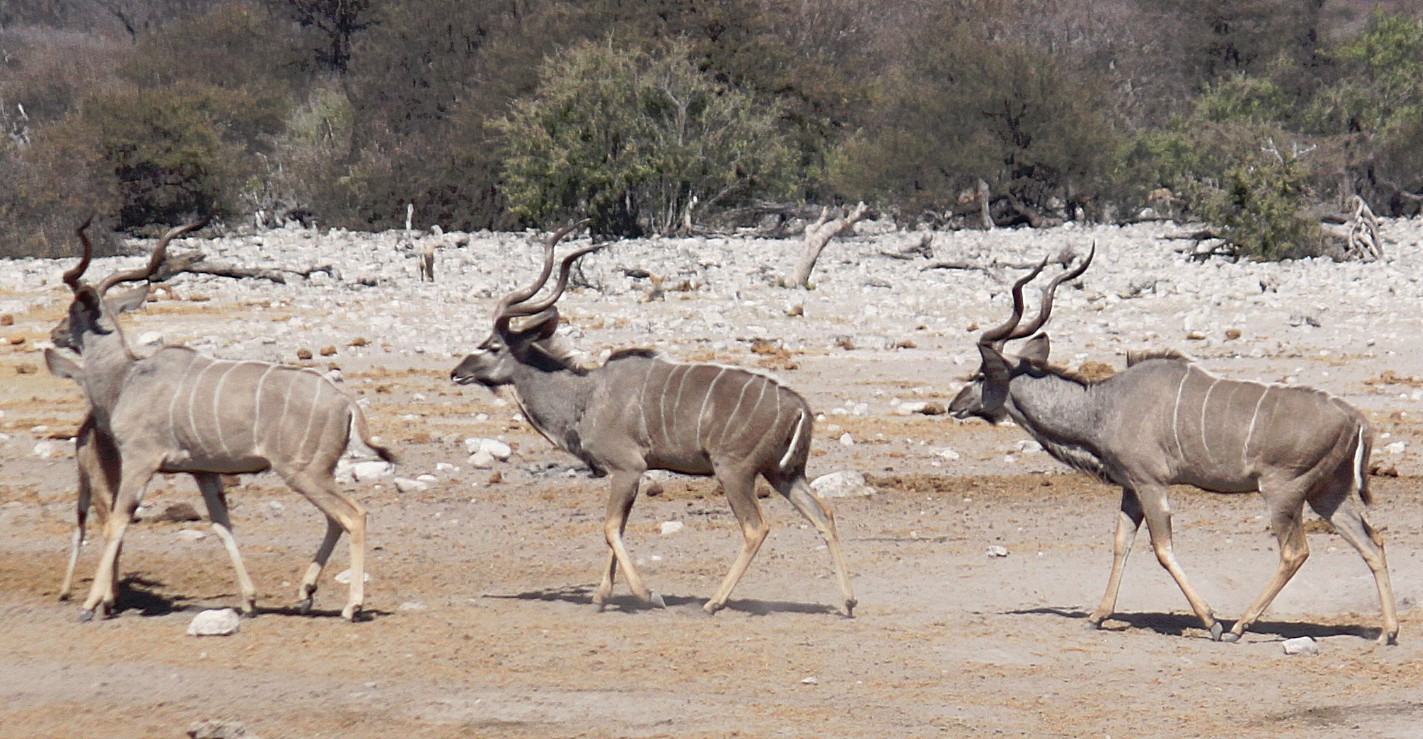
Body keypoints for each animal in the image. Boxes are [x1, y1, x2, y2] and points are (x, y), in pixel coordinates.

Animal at [48, 219, 392, 617]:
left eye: (75, 310)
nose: (55, 333)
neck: (126, 378)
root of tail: (345, 402)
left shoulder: (140, 461)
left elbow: (117, 522)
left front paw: (93, 603)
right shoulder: (204, 471)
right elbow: (222, 525)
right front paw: (249, 600)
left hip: (304, 472)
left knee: (353, 516)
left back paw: (352, 606)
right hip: (317, 474)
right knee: (334, 519)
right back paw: (305, 591)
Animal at [455, 224, 853, 617]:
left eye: (492, 346)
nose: (456, 372)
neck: (585, 395)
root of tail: (799, 407)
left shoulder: (627, 468)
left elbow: (610, 527)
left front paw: (649, 595)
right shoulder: (627, 474)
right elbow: (617, 528)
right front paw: (601, 597)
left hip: (734, 471)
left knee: (756, 528)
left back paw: (713, 603)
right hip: (784, 474)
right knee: (824, 514)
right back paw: (848, 602)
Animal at [950, 247, 1394, 640]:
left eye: (979, 374)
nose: (954, 406)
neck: (1104, 406)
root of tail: (1355, 418)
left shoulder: (1151, 484)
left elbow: (1162, 548)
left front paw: (1211, 622)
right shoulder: (1131, 489)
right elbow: (1121, 543)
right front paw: (1096, 617)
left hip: (1284, 491)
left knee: (1295, 551)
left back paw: (1239, 627)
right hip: (1327, 493)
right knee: (1372, 541)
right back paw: (1387, 632)